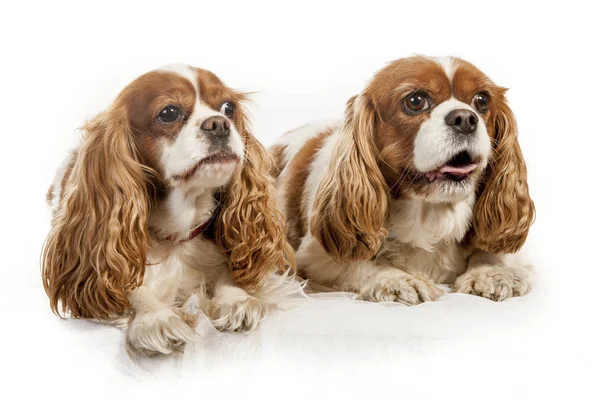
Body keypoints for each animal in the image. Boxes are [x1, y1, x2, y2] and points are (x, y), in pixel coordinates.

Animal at [41, 64, 296, 354]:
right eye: (169, 113)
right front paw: (156, 318)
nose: (219, 123)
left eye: (228, 107)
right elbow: (128, 287)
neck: (179, 232)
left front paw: (234, 300)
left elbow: (229, 268)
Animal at [272, 56, 536, 304]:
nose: (465, 119)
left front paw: (492, 272)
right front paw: (395, 279)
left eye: (482, 100)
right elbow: (360, 264)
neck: (431, 213)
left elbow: (495, 252)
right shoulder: (314, 257)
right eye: (415, 101)